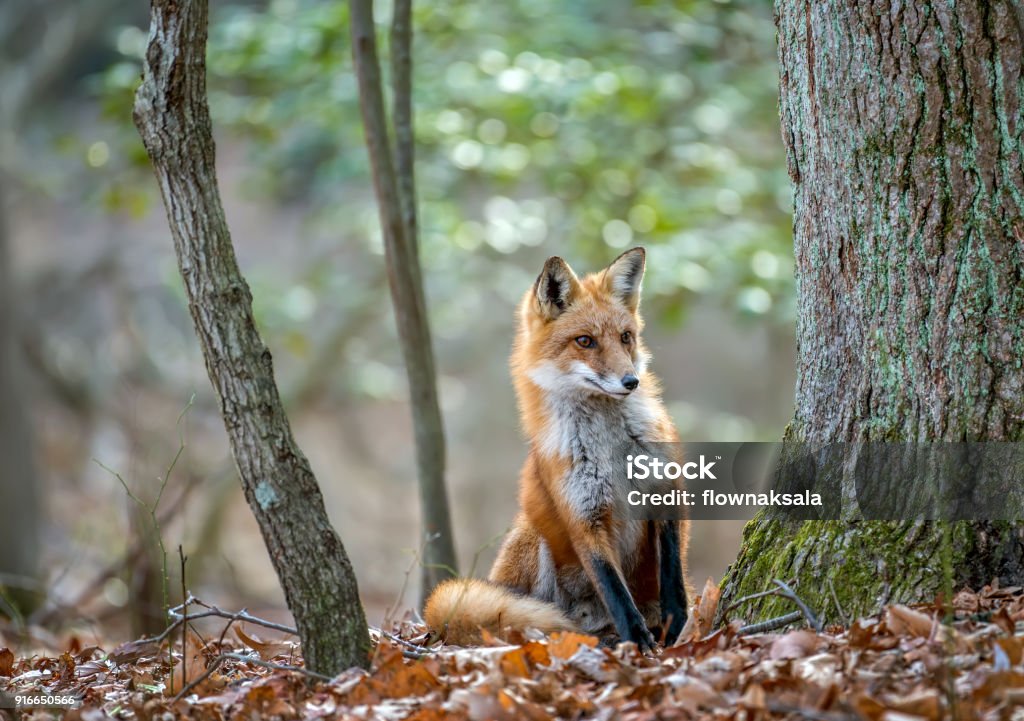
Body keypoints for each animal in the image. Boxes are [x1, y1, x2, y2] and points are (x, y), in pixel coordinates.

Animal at [423, 248, 688, 655]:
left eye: (626, 337)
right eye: (585, 341)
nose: (631, 381)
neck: (612, 448)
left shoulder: (666, 489)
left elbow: (673, 570)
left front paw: (674, 622)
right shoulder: (583, 515)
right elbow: (613, 587)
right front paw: (639, 639)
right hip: (536, 535)